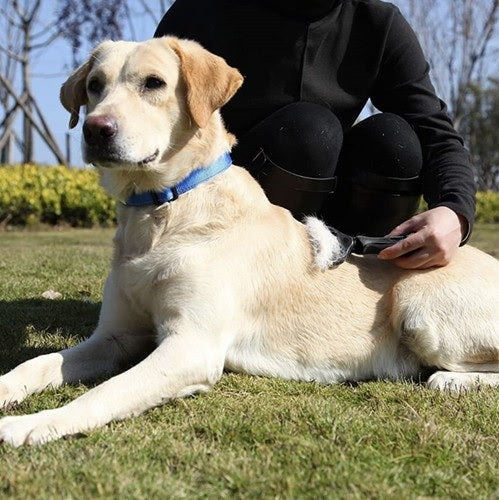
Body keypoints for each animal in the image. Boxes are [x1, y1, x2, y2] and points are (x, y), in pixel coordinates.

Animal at [0, 38, 499, 446]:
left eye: (154, 83)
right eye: (94, 86)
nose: (95, 129)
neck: (162, 210)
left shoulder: (192, 346)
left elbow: (106, 391)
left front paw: (32, 424)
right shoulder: (117, 336)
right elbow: (38, 363)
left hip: (419, 308)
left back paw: (450, 381)